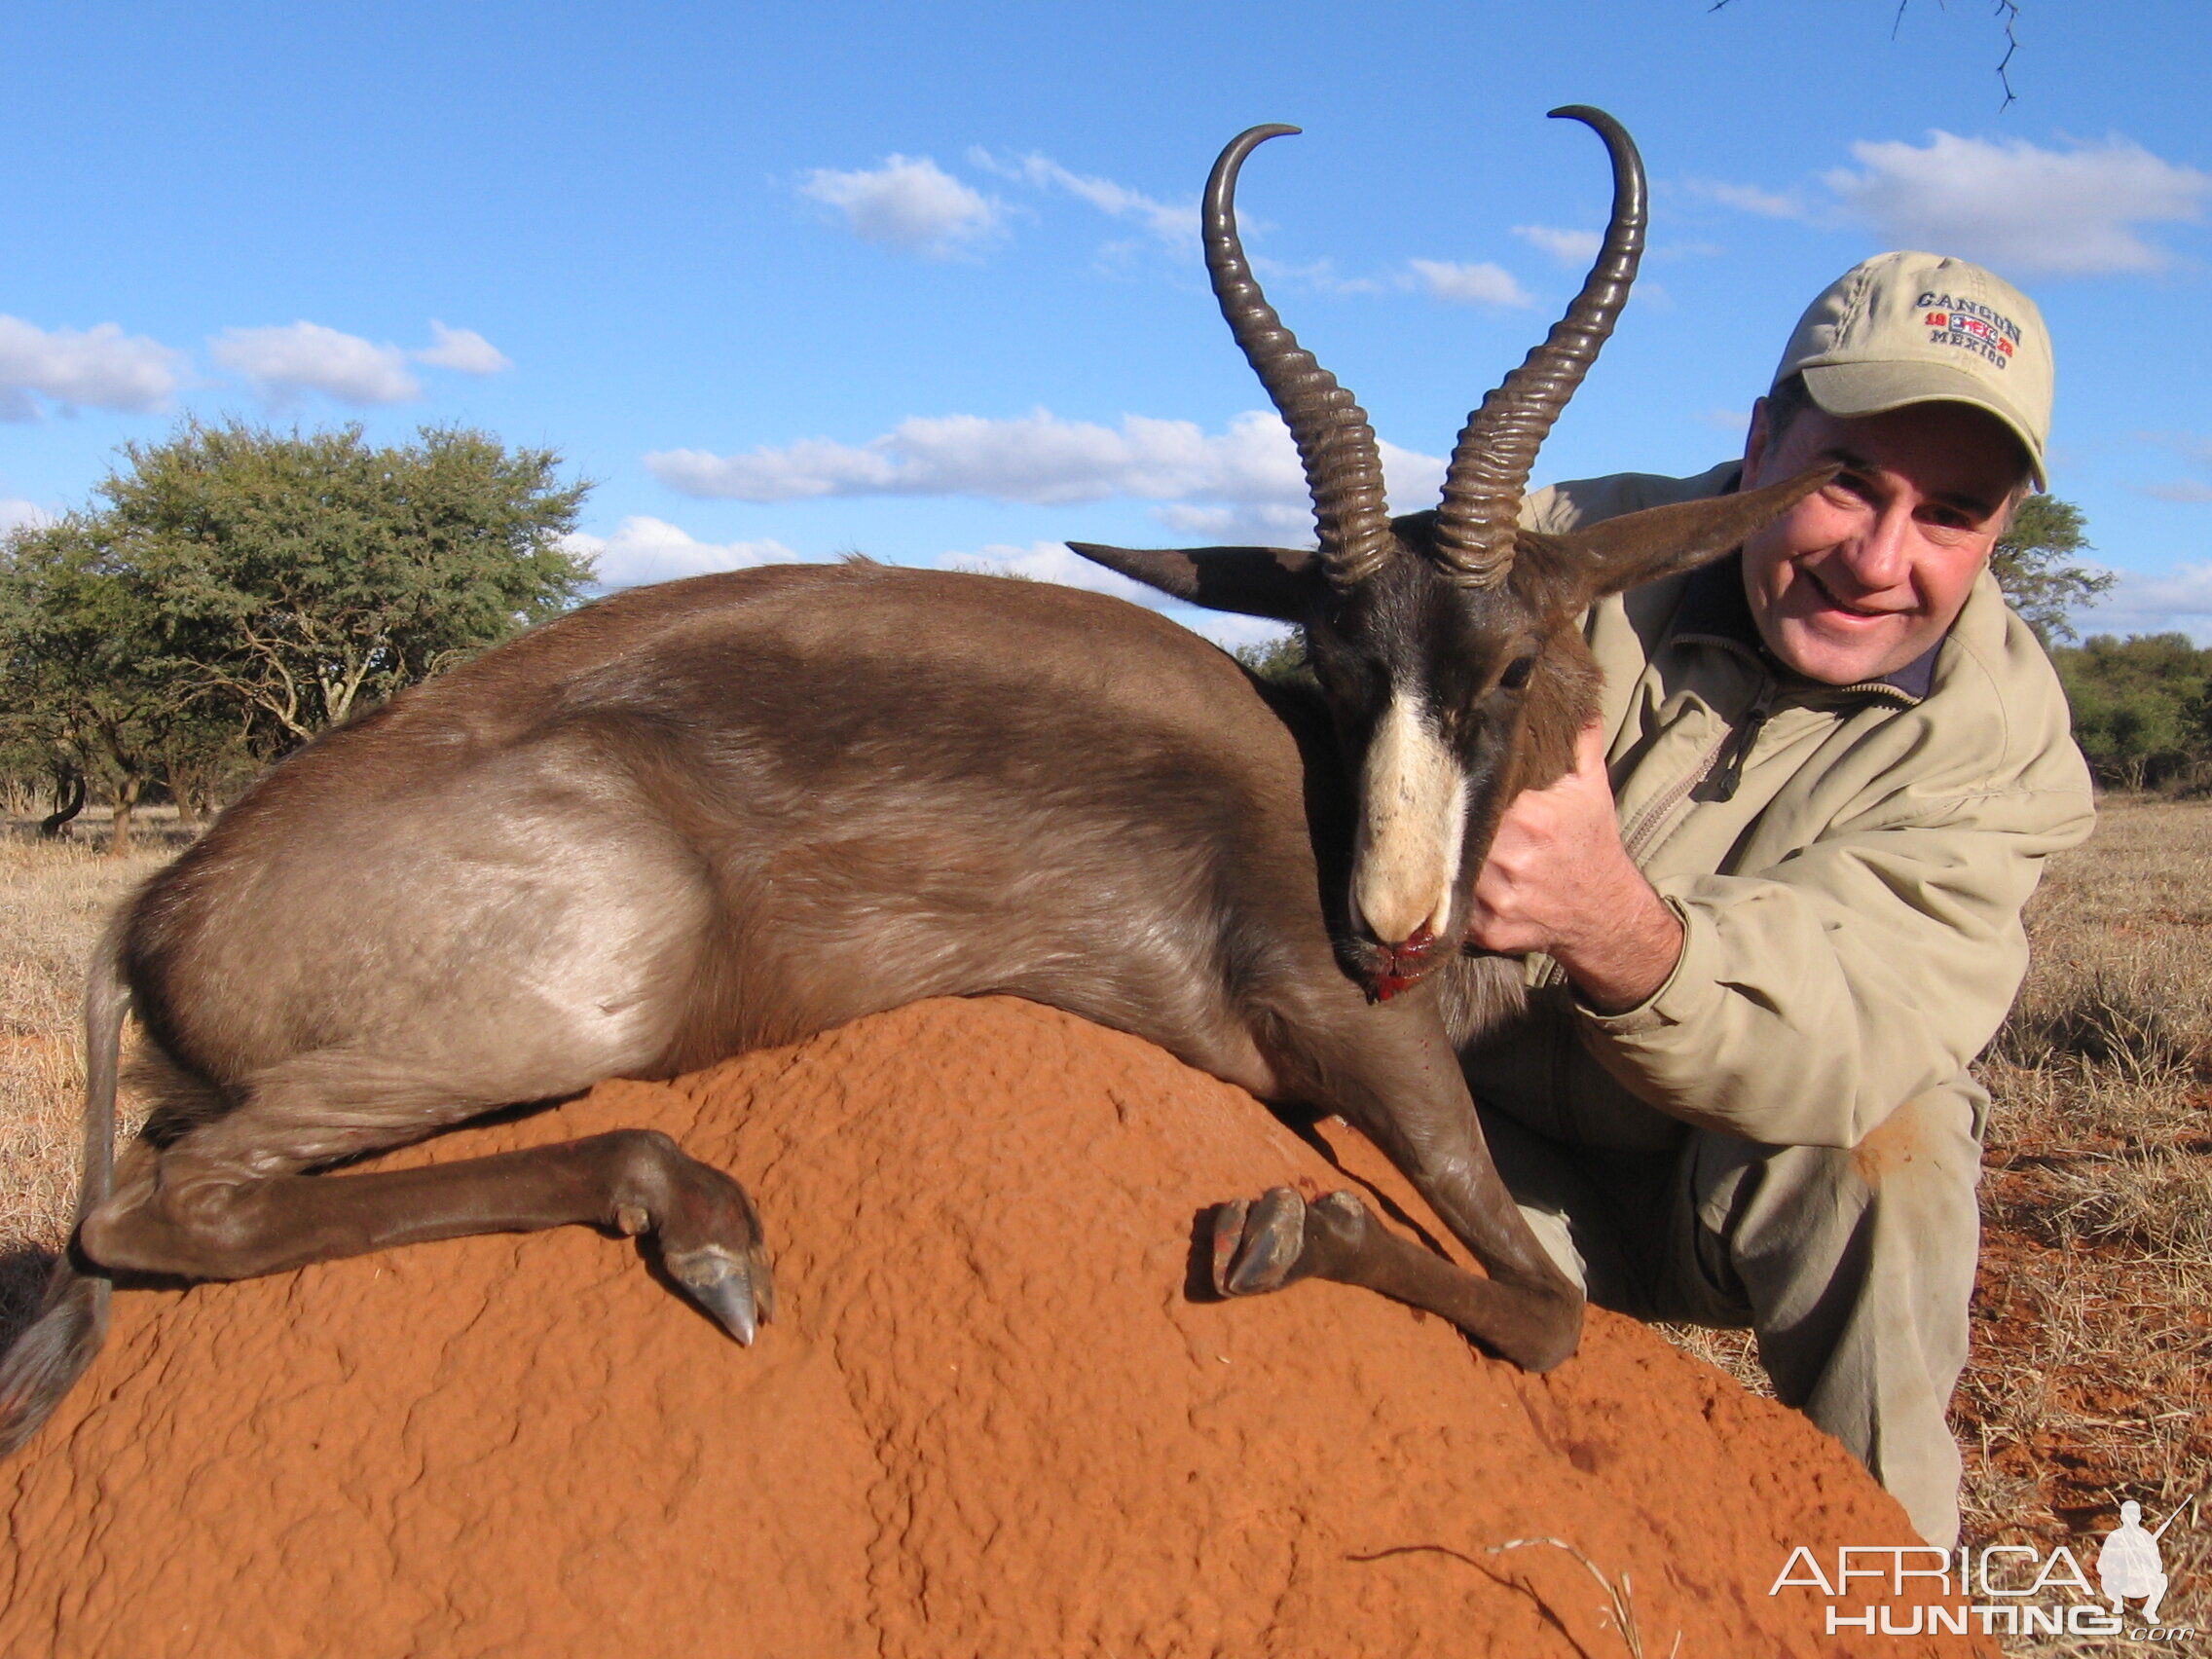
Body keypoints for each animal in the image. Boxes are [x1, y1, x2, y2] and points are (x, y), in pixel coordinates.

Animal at [0, 110, 1831, 1451]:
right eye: (1334, 654)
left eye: (1508, 661)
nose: (1388, 927)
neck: (1314, 804)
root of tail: (160, 901)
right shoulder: (1342, 1031)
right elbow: (1549, 1309)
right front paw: (1274, 1232)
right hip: (596, 989)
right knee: (162, 1210)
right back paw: (709, 1227)